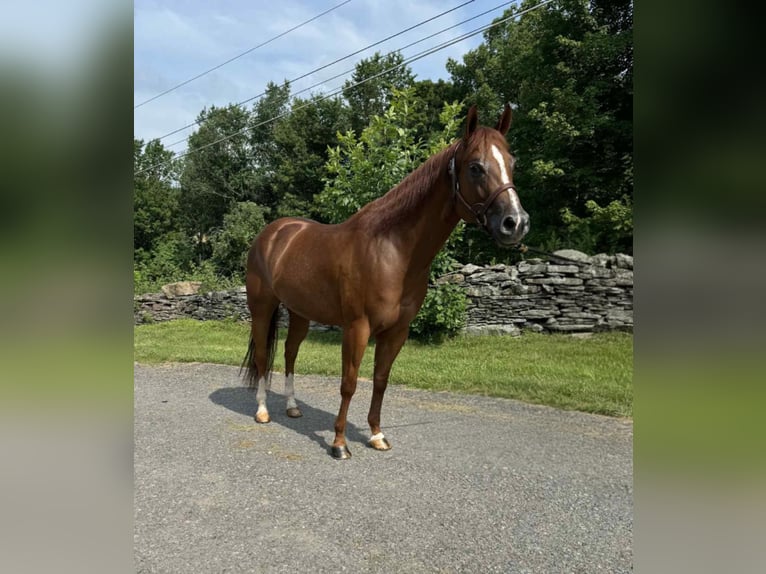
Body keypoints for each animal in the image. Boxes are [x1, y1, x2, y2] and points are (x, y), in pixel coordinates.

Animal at [242, 104, 529, 459]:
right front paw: (339, 444)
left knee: (289, 353)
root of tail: (273, 233)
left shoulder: (396, 332)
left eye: (512, 163)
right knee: (262, 357)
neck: (392, 250)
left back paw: (292, 407)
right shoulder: (357, 327)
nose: (516, 223)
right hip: (262, 308)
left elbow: (380, 380)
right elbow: (349, 383)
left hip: (300, 313)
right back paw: (262, 411)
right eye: (476, 167)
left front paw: (377, 435)